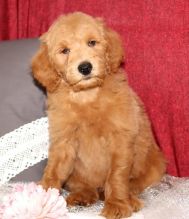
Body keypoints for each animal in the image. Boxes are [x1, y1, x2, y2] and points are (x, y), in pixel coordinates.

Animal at [31, 12, 166, 219]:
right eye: (65, 51)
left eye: (92, 43)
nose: (85, 67)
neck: (87, 97)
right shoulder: (64, 142)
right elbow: (53, 170)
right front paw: (43, 196)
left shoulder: (120, 140)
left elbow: (117, 175)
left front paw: (117, 204)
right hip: (76, 176)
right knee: (85, 186)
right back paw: (82, 195)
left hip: (153, 167)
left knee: (133, 185)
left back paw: (131, 200)